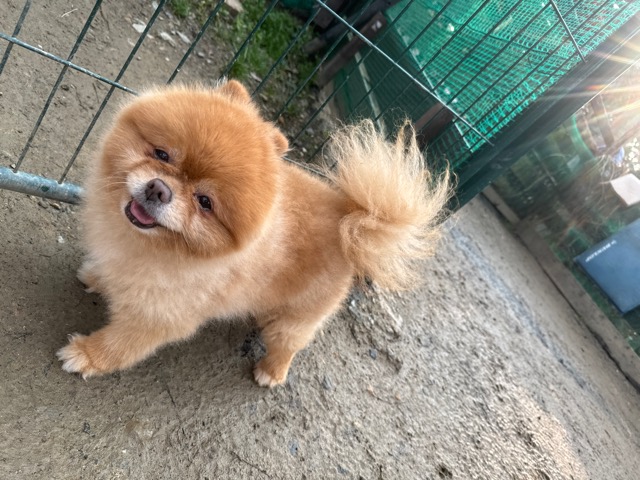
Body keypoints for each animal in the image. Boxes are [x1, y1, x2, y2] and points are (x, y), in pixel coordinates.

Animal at [56, 80, 450, 387]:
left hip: (297, 320)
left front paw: (88, 355)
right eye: (162, 154)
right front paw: (99, 278)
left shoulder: (158, 317)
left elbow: (120, 345)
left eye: (205, 202)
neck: (150, 245)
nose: (158, 189)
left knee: (287, 343)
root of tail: (350, 217)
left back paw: (272, 372)